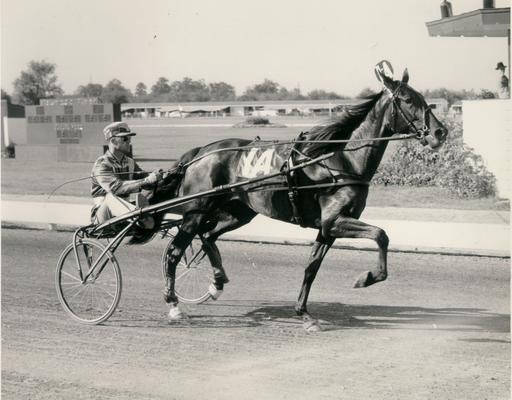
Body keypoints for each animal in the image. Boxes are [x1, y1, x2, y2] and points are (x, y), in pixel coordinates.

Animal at [148, 66, 448, 332]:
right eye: (408, 100)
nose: (440, 132)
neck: (340, 161)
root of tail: (201, 152)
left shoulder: (327, 229)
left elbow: (311, 268)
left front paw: (305, 315)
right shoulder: (334, 221)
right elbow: (381, 235)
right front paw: (367, 278)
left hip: (239, 212)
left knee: (208, 236)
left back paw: (217, 283)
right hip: (196, 212)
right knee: (175, 252)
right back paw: (174, 304)